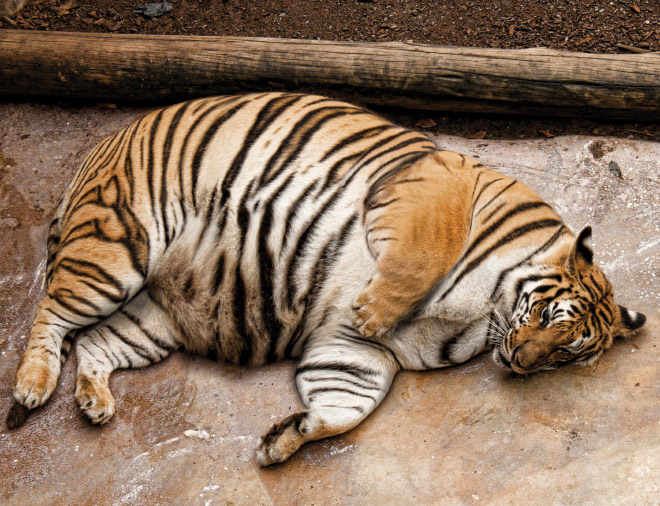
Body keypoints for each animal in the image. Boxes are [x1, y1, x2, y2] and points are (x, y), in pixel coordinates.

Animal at [6, 92, 646, 466]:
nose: (520, 363)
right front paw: (376, 308)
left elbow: (346, 404)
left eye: (567, 354)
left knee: (94, 342)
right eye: (545, 316)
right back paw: (33, 385)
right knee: (51, 314)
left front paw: (284, 438)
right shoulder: (431, 185)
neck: (487, 315)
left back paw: (93, 402)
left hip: (153, 317)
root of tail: (99, 149)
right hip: (116, 251)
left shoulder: (359, 353)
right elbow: (422, 253)